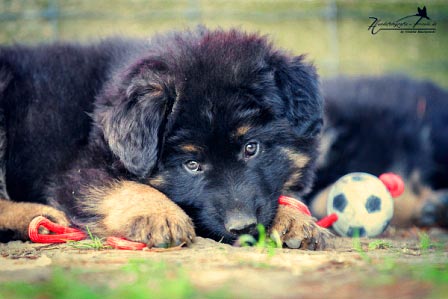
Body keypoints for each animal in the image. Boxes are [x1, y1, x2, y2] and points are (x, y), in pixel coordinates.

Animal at [0, 27, 328, 248]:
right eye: (192, 164)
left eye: (251, 148)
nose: (242, 226)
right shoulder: (77, 170)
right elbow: (124, 187)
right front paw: (159, 214)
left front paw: (294, 218)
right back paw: (40, 217)